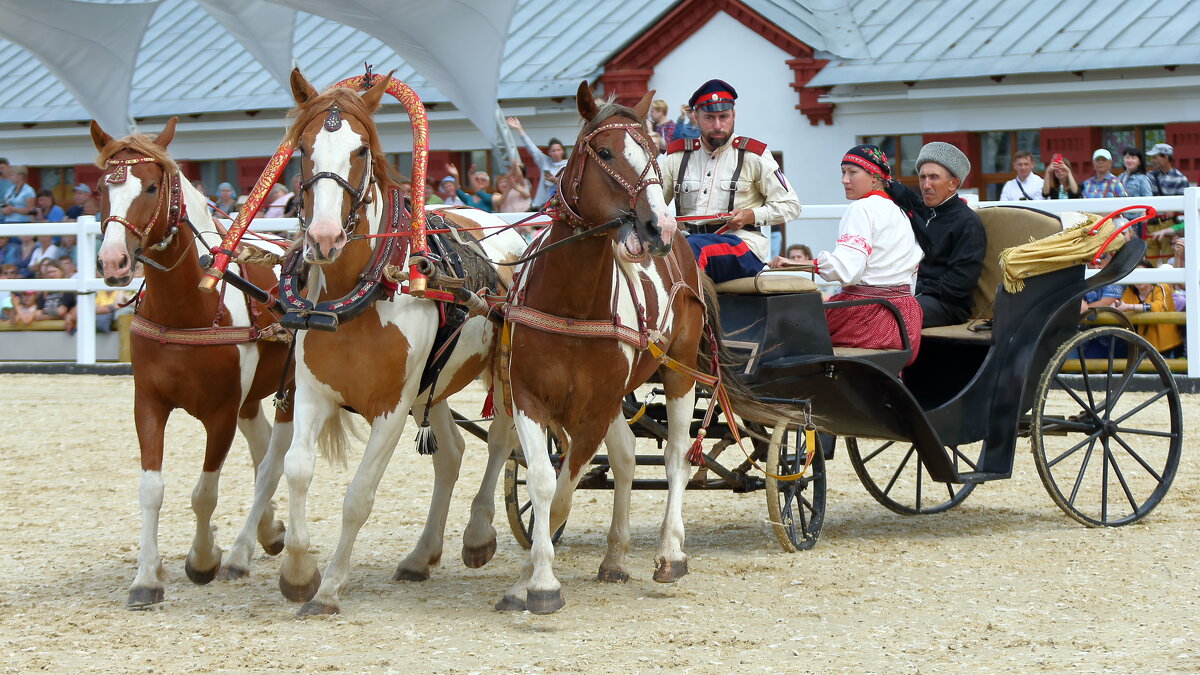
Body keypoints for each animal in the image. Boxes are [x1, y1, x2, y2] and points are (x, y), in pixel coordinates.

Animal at [90, 115, 292, 605]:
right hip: (252, 400)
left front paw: (203, 559)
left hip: (290, 391)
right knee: (262, 454)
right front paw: (146, 577)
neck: (187, 307)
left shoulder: (220, 413)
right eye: (102, 187)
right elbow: (151, 488)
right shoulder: (149, 403)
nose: (113, 260)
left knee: (270, 465)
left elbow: (205, 492)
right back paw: (268, 531)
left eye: (150, 187)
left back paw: (240, 551)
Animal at [277, 69, 530, 614]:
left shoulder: (390, 408)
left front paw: (329, 588)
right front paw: (299, 572)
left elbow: (359, 495)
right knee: (453, 452)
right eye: (303, 149)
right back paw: (421, 555)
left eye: (359, 150)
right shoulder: (312, 392)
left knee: (502, 440)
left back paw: (478, 534)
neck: (360, 296)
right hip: (432, 383)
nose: (324, 238)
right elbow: (298, 469)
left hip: (499, 369)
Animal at [494, 81, 787, 612]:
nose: (658, 227)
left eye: (653, 152)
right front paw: (528, 578)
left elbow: (565, 490)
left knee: (676, 458)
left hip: (681, 373)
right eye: (606, 152)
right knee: (628, 456)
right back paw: (614, 557)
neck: (570, 303)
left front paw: (538, 581)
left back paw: (671, 553)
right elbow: (545, 481)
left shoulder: (594, 409)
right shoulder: (528, 398)